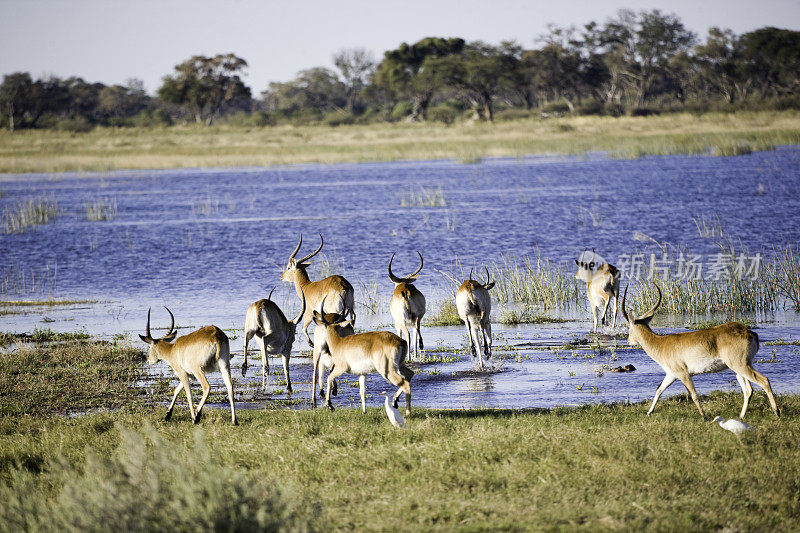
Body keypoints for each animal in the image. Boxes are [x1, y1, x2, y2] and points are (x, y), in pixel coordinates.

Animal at [620, 284, 780, 418]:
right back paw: (741, 417)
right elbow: (659, 389)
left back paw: (776, 412)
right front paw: (649, 412)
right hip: (740, 367)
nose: (628, 341)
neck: (661, 344)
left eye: (628, 326)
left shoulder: (683, 374)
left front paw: (703, 416)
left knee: (764, 380)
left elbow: (693, 394)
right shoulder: (671, 375)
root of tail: (749, 332)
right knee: (748, 390)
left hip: (740, 365)